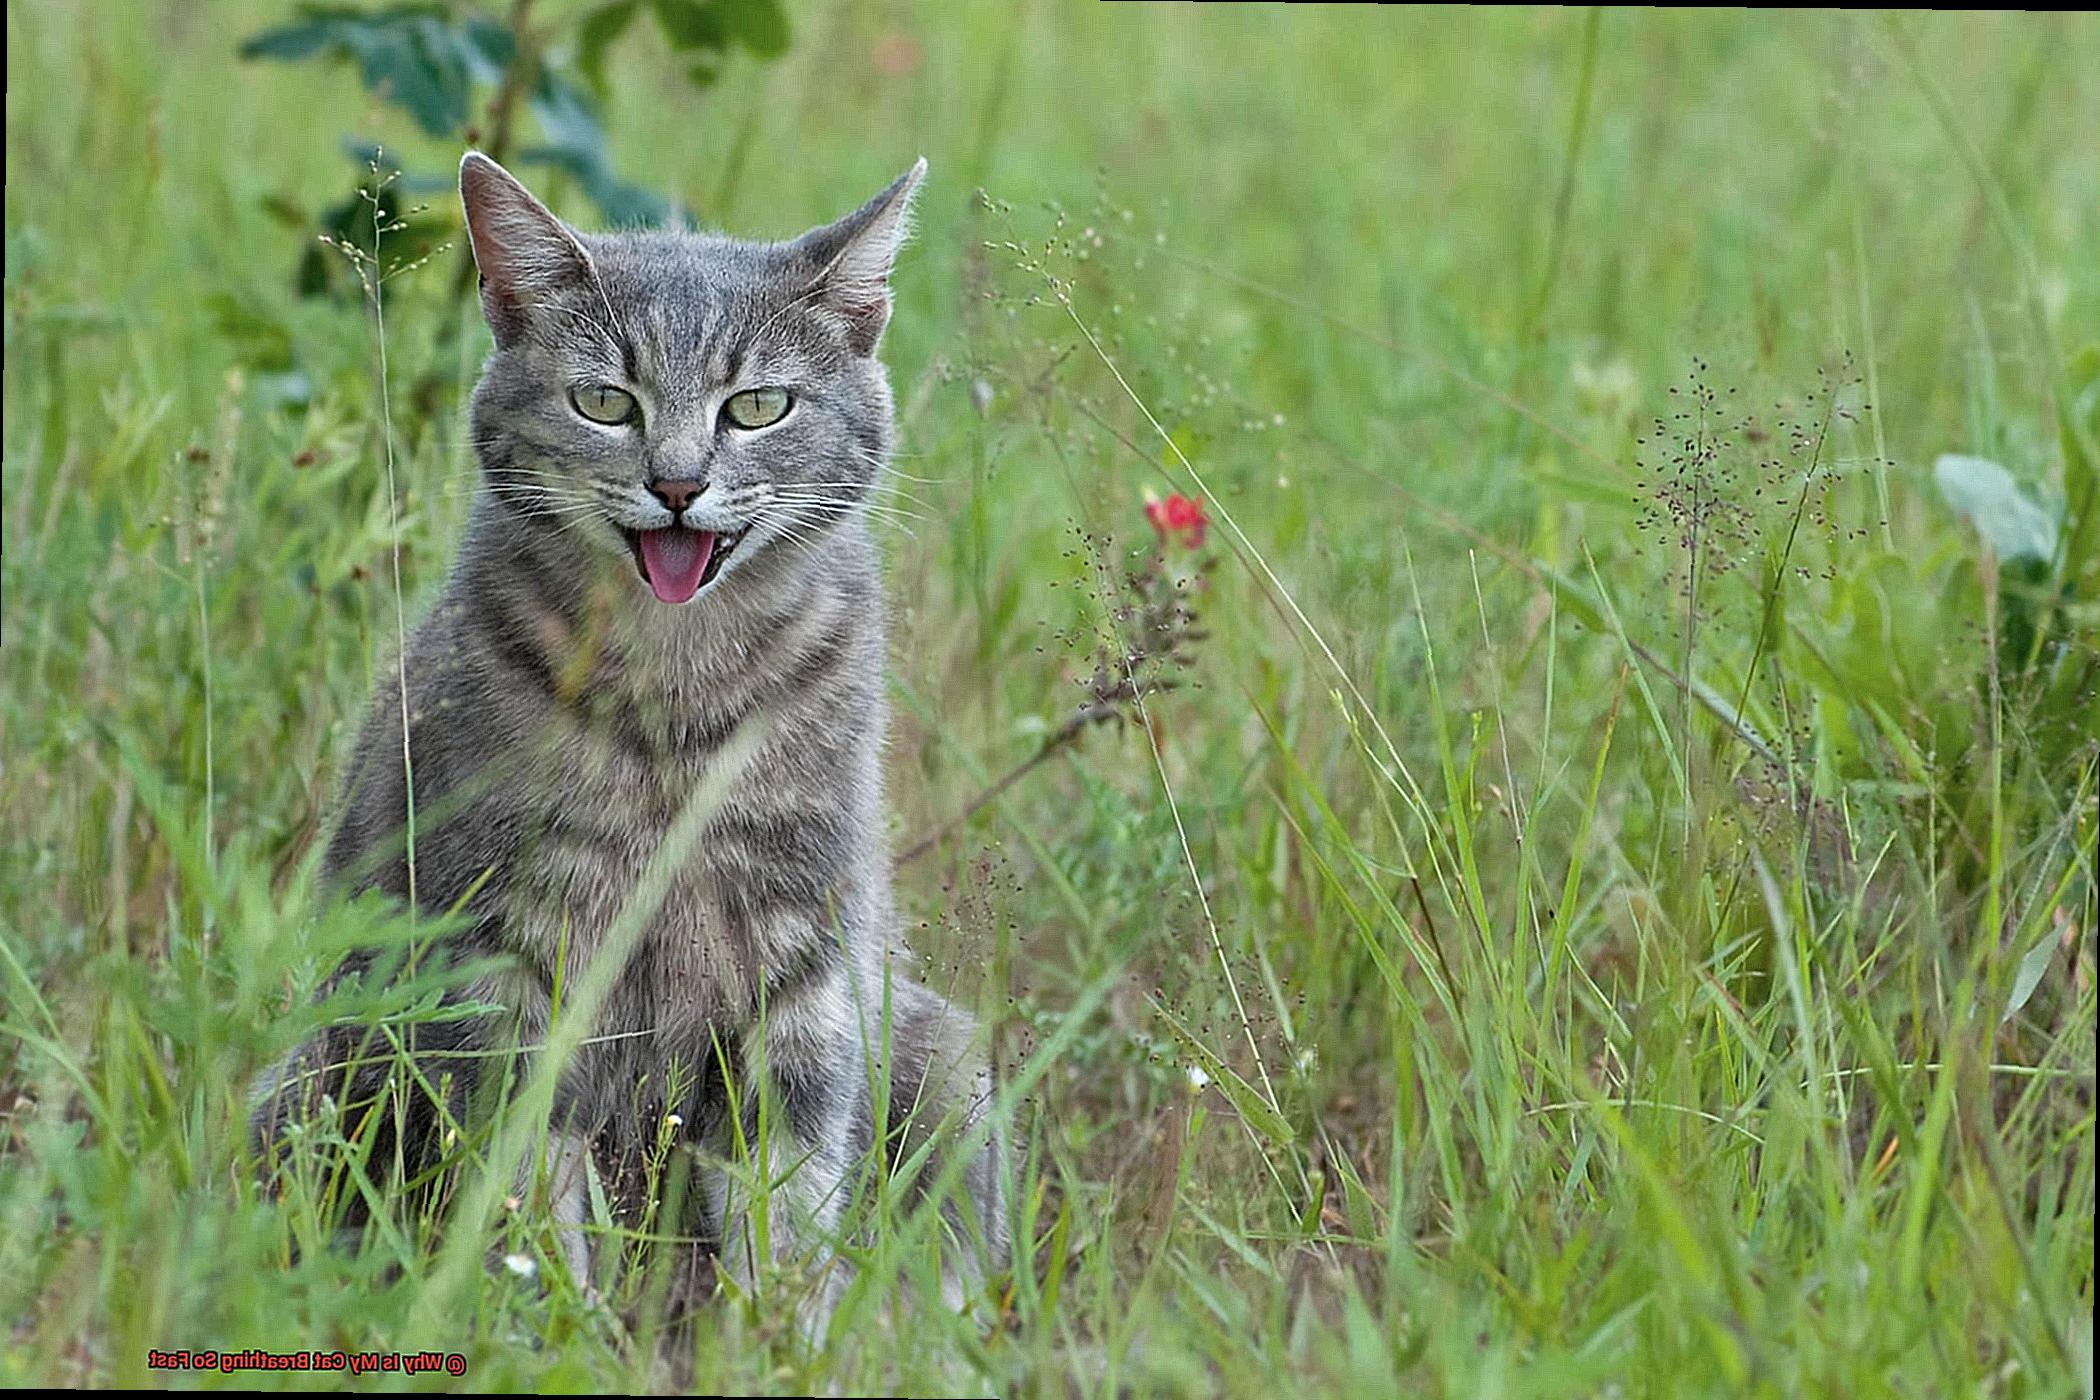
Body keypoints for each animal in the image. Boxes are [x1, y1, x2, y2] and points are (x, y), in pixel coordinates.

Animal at [254, 151, 1007, 1326]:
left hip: (946, 1061)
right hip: (311, 1079)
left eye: (758, 405)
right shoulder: (504, 962)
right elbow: (523, 1202)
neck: (676, 696)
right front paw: (546, 1329)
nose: (678, 482)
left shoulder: (801, 969)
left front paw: (778, 1337)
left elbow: (787, 1202)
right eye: (605, 400)